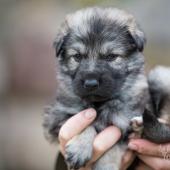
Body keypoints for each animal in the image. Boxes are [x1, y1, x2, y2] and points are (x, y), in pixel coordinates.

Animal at [43, 6, 149, 170]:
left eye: (111, 57)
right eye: (77, 56)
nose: (91, 83)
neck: (99, 104)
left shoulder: (126, 127)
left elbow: (113, 149)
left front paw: (106, 166)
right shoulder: (57, 117)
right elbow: (87, 124)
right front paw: (80, 148)